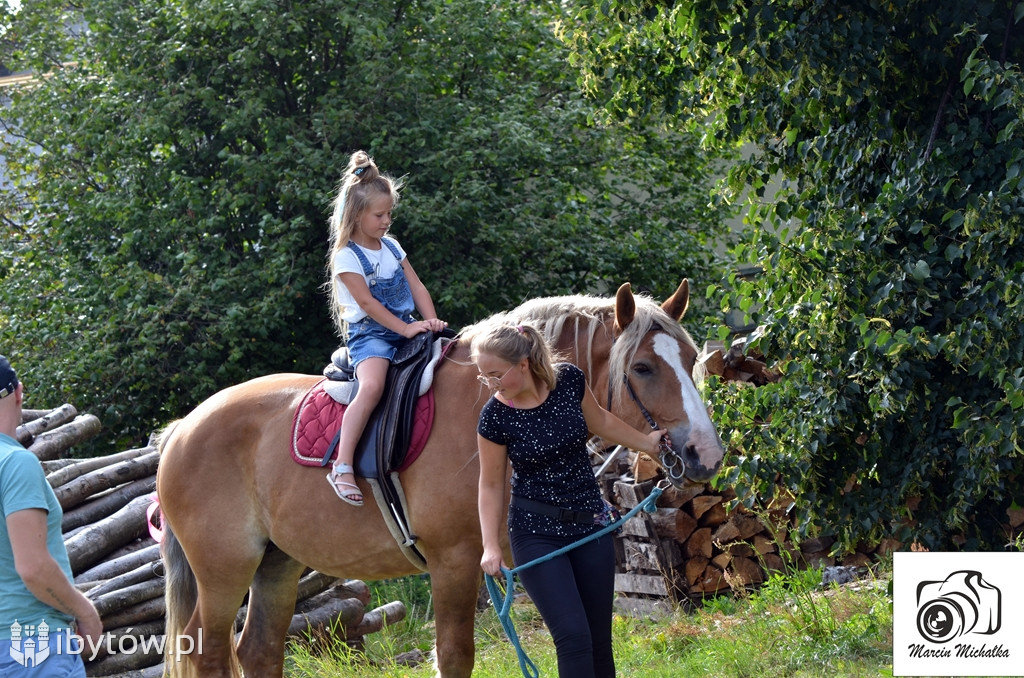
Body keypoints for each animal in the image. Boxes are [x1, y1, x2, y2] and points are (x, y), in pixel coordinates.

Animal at [155, 278, 724, 678]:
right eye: (644, 367)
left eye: (691, 358)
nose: (706, 454)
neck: (487, 408)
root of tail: (181, 430)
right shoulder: (452, 563)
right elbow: (454, 657)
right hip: (225, 571)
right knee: (208, 653)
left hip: (276, 566)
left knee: (258, 652)